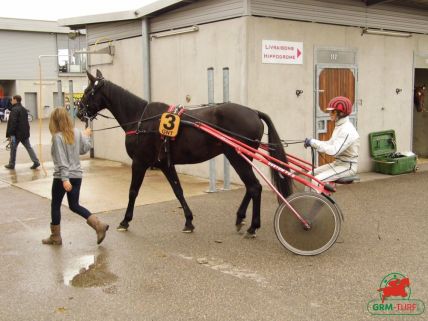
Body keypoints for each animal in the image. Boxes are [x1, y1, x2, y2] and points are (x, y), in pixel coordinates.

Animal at [77, 70, 290, 235]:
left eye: (87, 92)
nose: (79, 112)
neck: (141, 120)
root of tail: (253, 112)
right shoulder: (165, 164)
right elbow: (178, 191)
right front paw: (188, 221)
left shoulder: (139, 162)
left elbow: (133, 192)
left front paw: (125, 221)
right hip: (240, 157)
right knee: (250, 187)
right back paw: (240, 218)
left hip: (237, 156)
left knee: (254, 187)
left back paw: (253, 226)